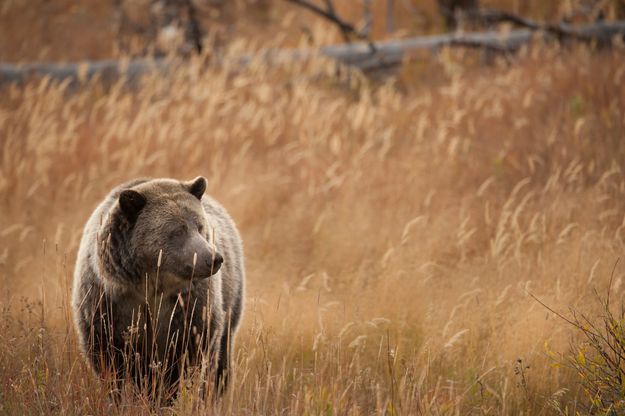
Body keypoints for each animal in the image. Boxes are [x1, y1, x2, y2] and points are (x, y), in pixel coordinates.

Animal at [70, 176, 241, 404]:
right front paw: (120, 397)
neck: (151, 286)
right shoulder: (107, 304)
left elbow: (188, 355)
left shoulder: (189, 308)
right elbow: (109, 362)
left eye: (199, 226)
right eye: (178, 231)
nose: (213, 258)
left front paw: (166, 397)